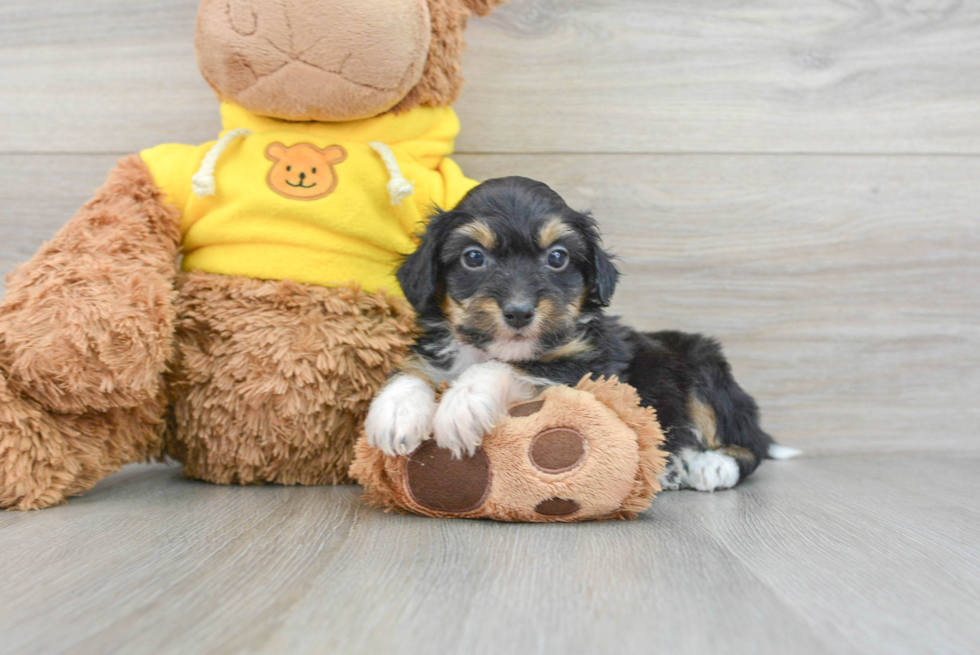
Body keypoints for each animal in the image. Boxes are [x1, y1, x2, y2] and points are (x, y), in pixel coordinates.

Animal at [366, 177, 796, 490]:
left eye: (557, 257)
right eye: (474, 257)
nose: (519, 312)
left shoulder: (589, 369)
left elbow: (510, 368)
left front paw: (463, 402)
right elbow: (415, 370)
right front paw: (396, 411)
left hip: (704, 372)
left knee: (749, 445)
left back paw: (709, 466)